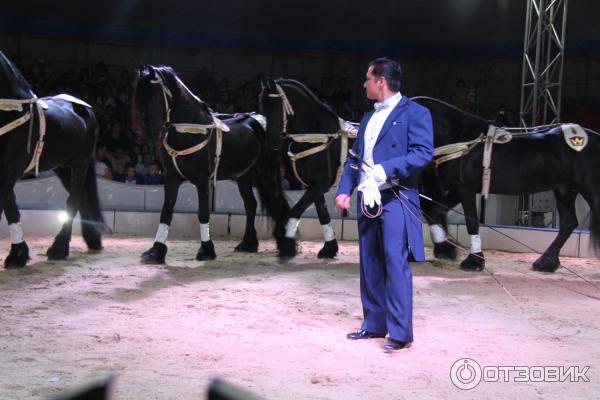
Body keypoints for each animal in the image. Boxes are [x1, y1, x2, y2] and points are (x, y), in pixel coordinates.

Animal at [0, 50, 106, 268]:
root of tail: (87, 110)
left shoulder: (9, 169)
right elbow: (11, 208)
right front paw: (18, 254)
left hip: (80, 163)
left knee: (74, 199)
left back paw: (60, 247)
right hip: (63, 167)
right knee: (81, 198)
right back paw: (93, 239)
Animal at [131, 65, 286, 262]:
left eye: (156, 96)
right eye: (138, 99)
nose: (150, 133)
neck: (191, 132)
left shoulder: (202, 180)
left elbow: (203, 213)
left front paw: (206, 250)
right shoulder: (171, 178)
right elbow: (166, 212)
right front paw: (156, 251)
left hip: (268, 173)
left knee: (276, 203)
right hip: (244, 177)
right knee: (251, 205)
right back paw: (248, 244)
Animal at [258, 78, 356, 260]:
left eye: (275, 107)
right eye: (262, 108)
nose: (271, 144)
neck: (317, 136)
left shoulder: (321, 184)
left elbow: (296, 210)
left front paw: (287, 246)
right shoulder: (315, 185)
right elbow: (323, 214)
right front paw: (329, 249)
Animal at [412, 96, 600, 272]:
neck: (462, 140)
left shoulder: (466, 189)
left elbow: (471, 222)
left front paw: (474, 261)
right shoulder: (457, 189)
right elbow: (434, 212)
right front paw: (446, 249)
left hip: (590, 190)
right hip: (565, 190)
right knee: (569, 222)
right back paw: (546, 262)